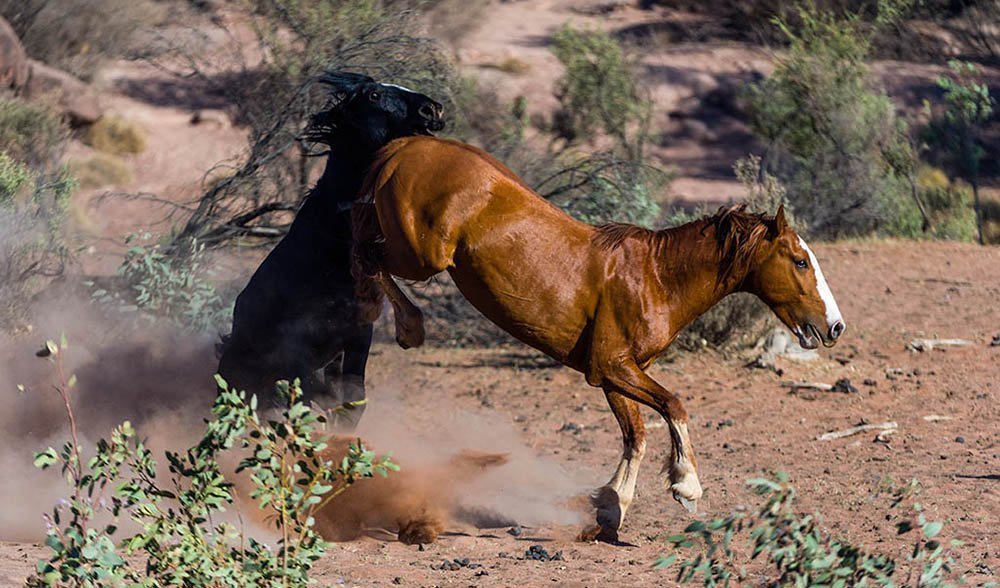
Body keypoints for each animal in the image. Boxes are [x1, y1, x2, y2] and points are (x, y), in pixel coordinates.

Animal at [219, 72, 446, 428]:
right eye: (374, 94)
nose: (432, 109)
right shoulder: (298, 348)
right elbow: (307, 402)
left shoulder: (357, 336)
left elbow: (351, 402)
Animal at [352, 136, 844, 540]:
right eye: (800, 261)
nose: (834, 327)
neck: (656, 277)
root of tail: (406, 146)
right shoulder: (611, 366)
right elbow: (674, 406)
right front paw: (686, 486)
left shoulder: (618, 373)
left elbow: (636, 435)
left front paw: (610, 509)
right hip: (422, 256)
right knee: (365, 254)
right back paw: (409, 325)